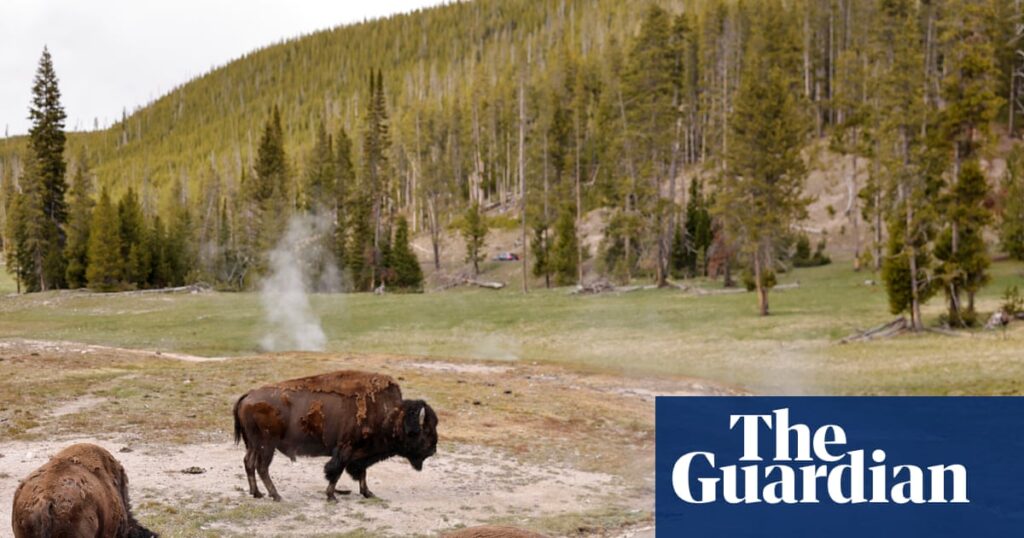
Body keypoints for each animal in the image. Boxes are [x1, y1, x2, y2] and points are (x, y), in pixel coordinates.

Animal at [233, 369, 438, 502]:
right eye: (424, 431)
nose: (432, 450)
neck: (389, 414)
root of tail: (248, 395)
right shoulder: (345, 449)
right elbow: (336, 471)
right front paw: (331, 496)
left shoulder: (361, 453)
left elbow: (362, 472)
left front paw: (368, 493)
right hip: (267, 446)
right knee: (262, 467)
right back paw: (276, 495)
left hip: (253, 445)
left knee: (249, 463)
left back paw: (256, 493)